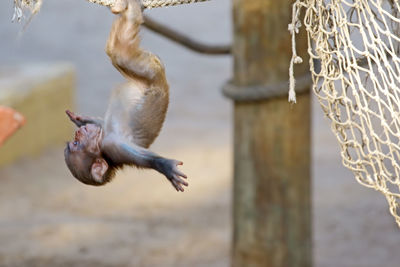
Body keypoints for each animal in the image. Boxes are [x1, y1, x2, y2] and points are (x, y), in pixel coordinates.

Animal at [62, 0, 188, 193]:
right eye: (75, 144)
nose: (78, 133)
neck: (101, 140)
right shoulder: (113, 147)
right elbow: (140, 156)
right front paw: (165, 166)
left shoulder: (110, 142)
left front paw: (80, 119)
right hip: (147, 70)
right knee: (119, 52)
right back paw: (128, 8)